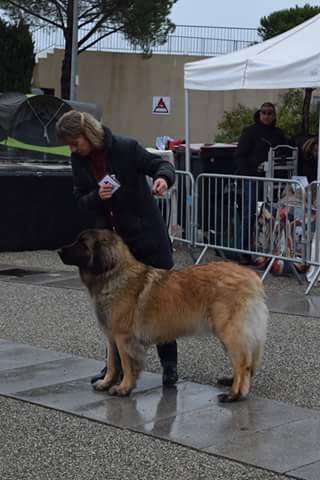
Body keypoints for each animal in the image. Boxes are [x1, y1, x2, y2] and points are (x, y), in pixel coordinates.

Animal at [58, 229, 268, 402]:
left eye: (82, 243)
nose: (59, 250)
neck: (113, 275)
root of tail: (252, 277)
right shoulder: (111, 336)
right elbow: (111, 362)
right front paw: (106, 382)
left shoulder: (123, 336)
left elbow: (125, 363)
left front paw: (124, 387)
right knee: (244, 360)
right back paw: (231, 383)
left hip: (228, 330)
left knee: (242, 363)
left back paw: (234, 394)